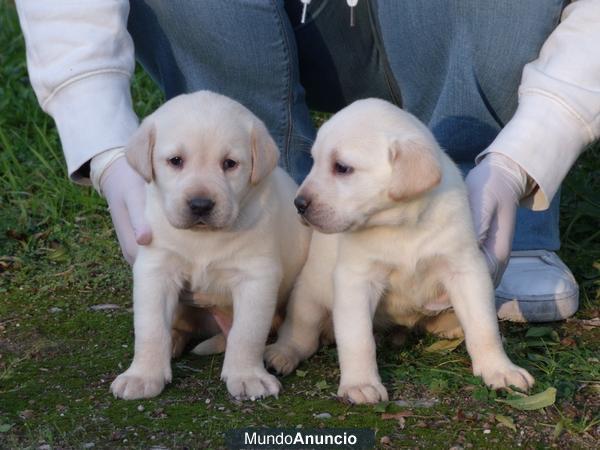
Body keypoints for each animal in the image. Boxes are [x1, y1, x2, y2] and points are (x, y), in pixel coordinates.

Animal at [108, 91, 312, 400]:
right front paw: (142, 375)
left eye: (229, 163)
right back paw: (174, 341)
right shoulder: (155, 270)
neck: (202, 238)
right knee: (179, 326)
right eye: (175, 160)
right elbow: (150, 328)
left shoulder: (257, 278)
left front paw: (247, 376)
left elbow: (247, 332)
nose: (201, 204)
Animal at [268, 97, 536, 404]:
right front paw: (360, 383)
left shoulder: (466, 270)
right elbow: (358, 339)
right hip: (309, 298)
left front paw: (500, 369)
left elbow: (484, 326)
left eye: (342, 167)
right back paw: (281, 354)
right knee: (301, 333)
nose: (298, 204)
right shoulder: (355, 280)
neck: (401, 225)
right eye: (314, 161)